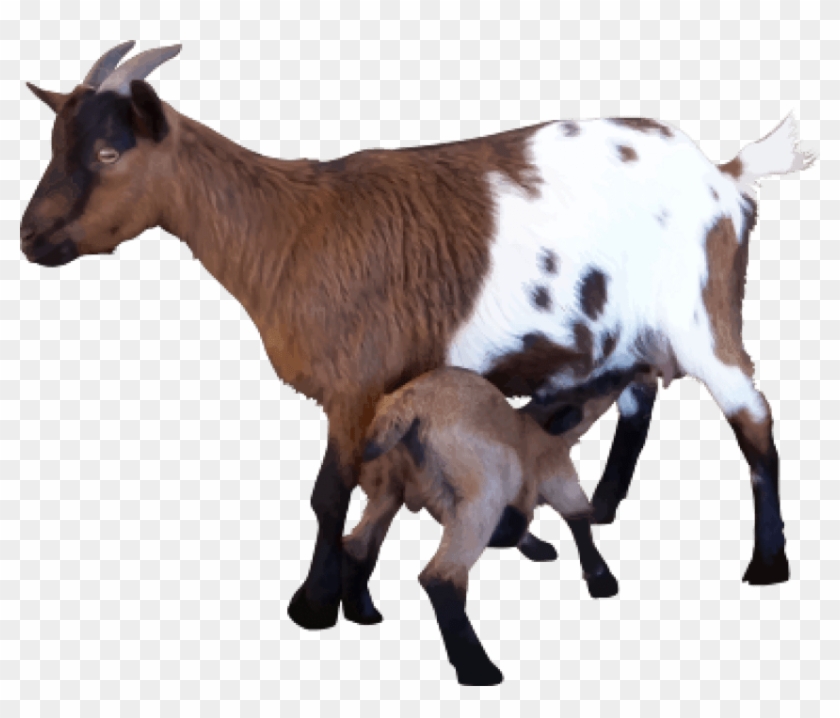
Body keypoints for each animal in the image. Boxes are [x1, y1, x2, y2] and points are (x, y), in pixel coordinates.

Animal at [22, 43, 814, 633]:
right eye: (58, 144)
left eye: (108, 154)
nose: (30, 239)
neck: (288, 231)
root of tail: (725, 176)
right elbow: (377, 489)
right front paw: (355, 595)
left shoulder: (356, 385)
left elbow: (329, 493)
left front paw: (315, 605)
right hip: (631, 327)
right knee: (639, 396)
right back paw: (606, 506)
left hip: (705, 318)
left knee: (753, 419)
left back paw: (767, 563)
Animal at [352, 366, 622, 685]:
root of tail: (406, 406)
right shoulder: (558, 477)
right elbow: (579, 517)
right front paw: (602, 580)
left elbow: (520, 523)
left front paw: (535, 547)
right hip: (482, 494)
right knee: (440, 575)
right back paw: (478, 668)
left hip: (386, 487)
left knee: (357, 544)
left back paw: (362, 612)